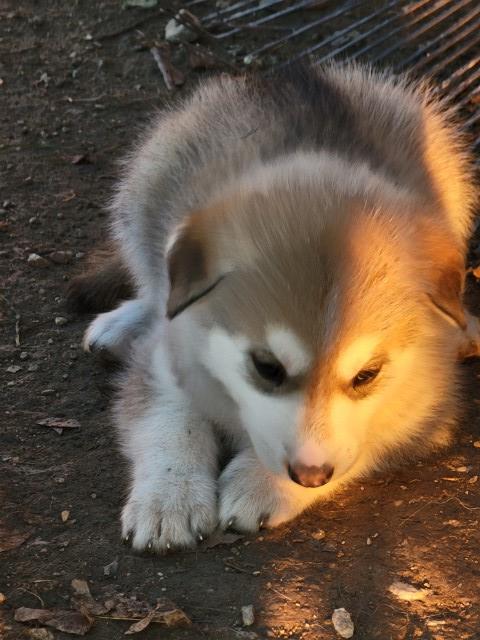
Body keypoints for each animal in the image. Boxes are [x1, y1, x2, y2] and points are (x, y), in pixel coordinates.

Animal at [69, 62, 478, 552]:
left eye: (367, 376)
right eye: (267, 367)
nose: (310, 475)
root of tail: (298, 74)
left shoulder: (426, 405)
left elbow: (364, 441)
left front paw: (260, 484)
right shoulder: (166, 356)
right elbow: (167, 418)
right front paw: (169, 497)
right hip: (145, 186)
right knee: (153, 285)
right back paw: (126, 322)